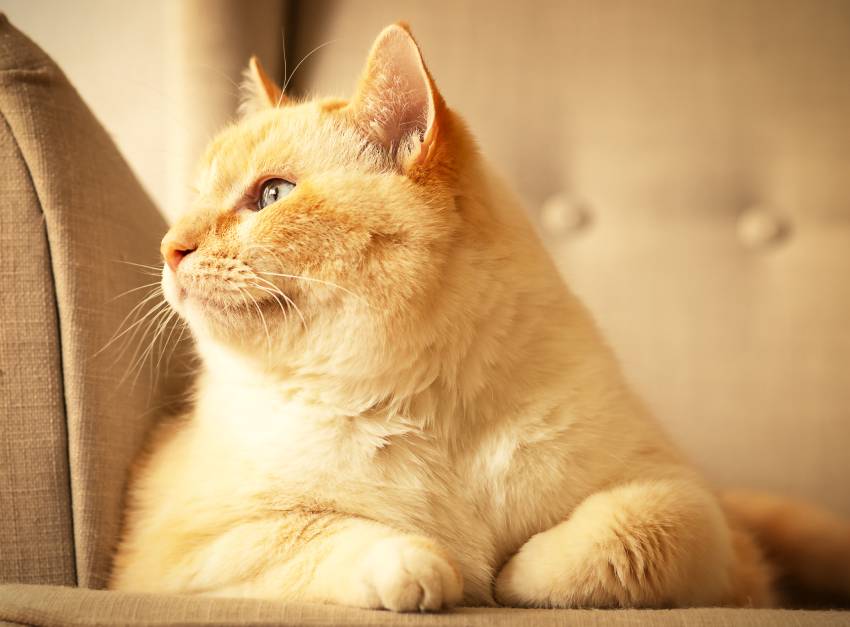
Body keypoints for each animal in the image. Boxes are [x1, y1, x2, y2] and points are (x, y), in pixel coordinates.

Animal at [107, 22, 848, 612]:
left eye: (271, 195)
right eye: (193, 199)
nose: (170, 247)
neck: (417, 401)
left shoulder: (692, 511)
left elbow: (611, 536)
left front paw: (509, 575)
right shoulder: (179, 550)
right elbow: (339, 537)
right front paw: (438, 571)